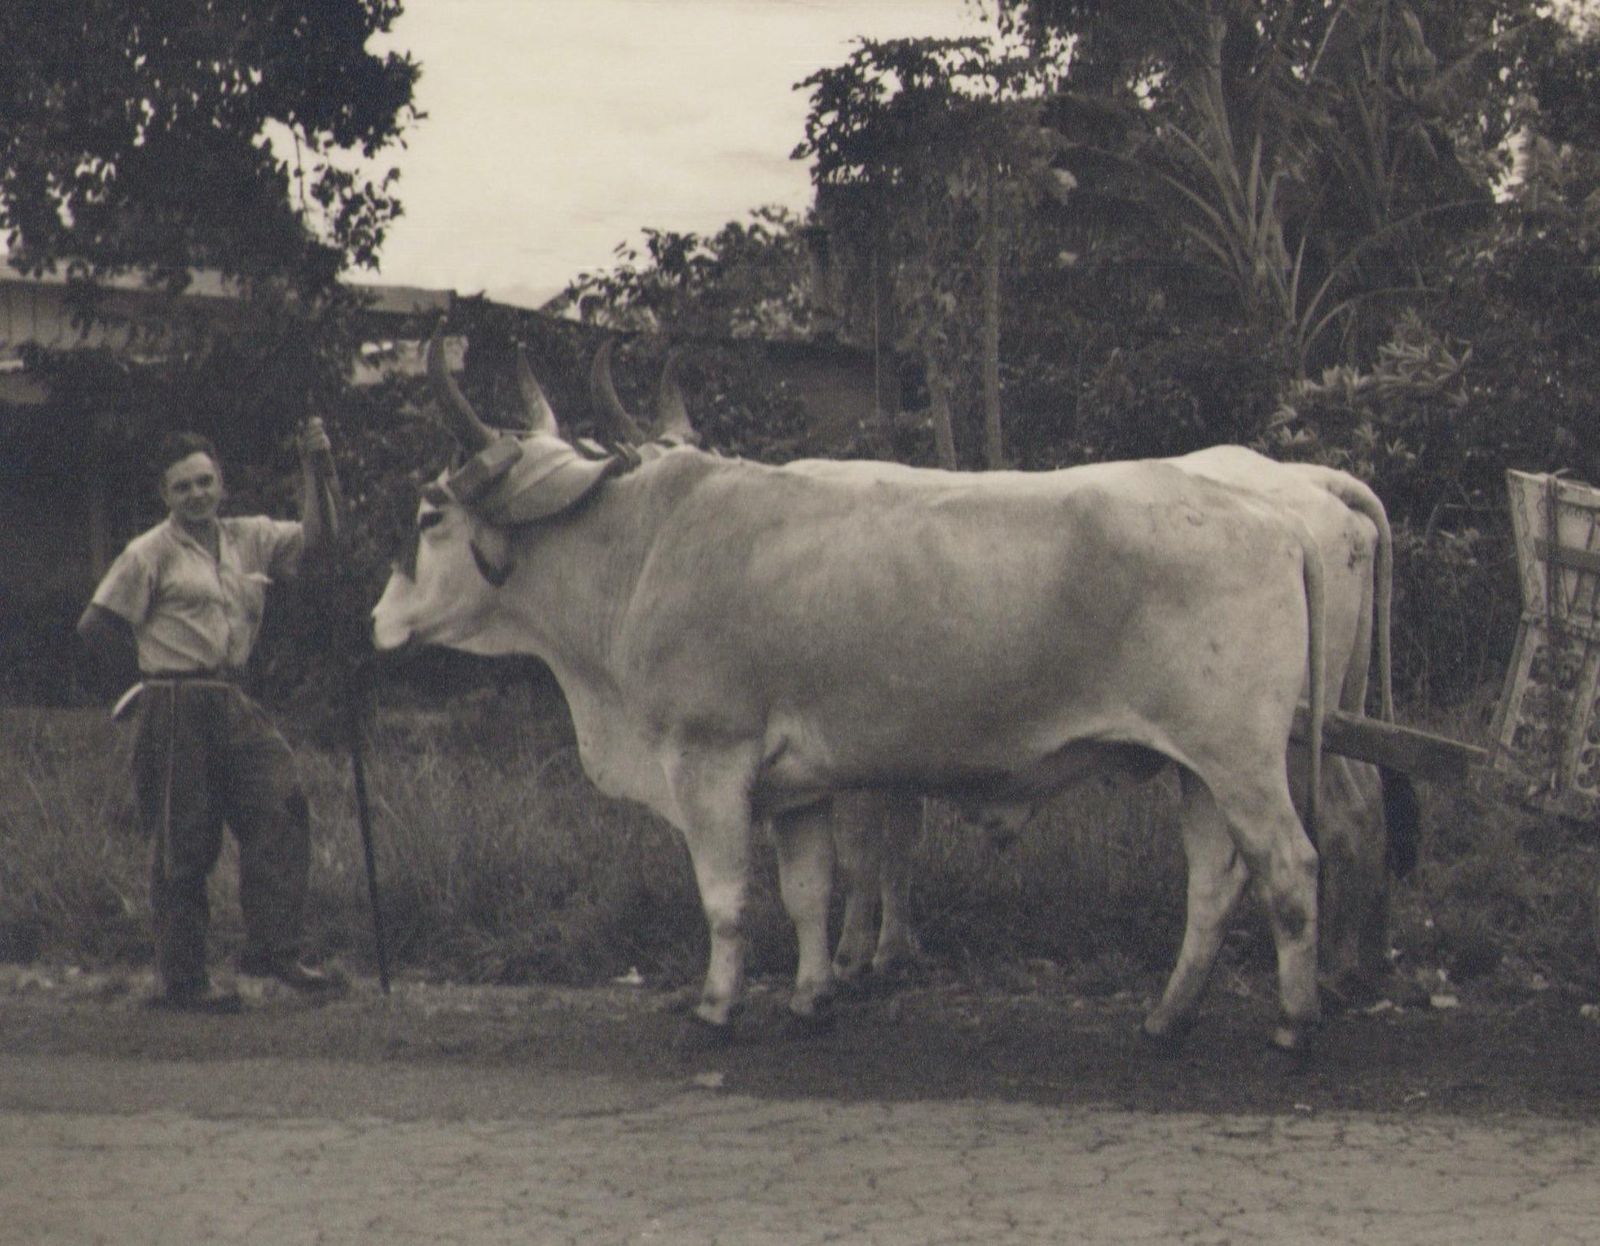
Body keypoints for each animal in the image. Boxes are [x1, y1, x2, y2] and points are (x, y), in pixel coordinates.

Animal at [372, 328, 1330, 1051]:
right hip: (1199, 770)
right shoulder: (798, 787)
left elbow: (726, 898)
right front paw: (812, 996)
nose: (377, 620)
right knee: (1214, 882)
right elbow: (809, 894)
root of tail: (1277, 516)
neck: (641, 551)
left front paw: (717, 1006)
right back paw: (1169, 1016)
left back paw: (1294, 1024)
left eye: (428, 516)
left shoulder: (708, 760)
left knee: (1289, 866)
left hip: (1241, 761)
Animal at [829, 448, 1421, 1010]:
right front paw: (893, 949)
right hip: (1340, 709)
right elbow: (898, 844)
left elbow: (864, 853)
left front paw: (855, 956)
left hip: (1283, 741)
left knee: (1339, 820)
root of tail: (1317, 482)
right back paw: (1365, 958)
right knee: (1369, 804)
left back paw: (1338, 968)